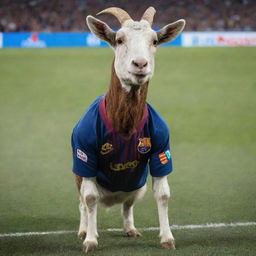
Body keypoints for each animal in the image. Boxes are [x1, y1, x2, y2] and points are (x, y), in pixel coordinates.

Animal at [71, 7, 185, 253]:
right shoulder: (85, 151)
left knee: (128, 203)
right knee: (83, 202)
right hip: (78, 175)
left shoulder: (161, 147)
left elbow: (163, 194)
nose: (140, 64)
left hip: (136, 185)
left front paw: (167, 238)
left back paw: (130, 228)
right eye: (119, 39)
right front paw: (90, 240)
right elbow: (90, 198)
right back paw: (84, 229)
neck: (124, 124)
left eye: (154, 41)